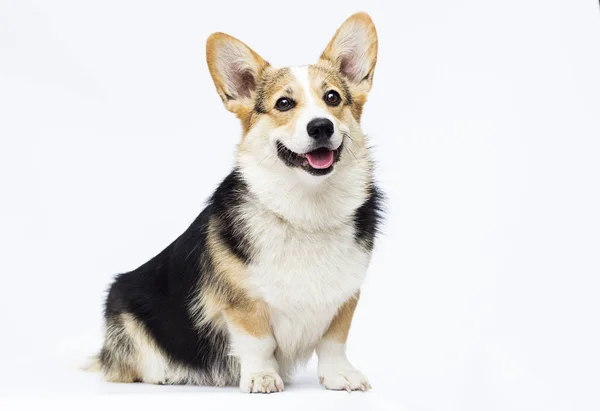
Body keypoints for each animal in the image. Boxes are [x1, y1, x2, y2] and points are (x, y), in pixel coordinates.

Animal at [86, 11, 382, 394]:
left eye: (332, 97)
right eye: (284, 103)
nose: (321, 127)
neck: (306, 209)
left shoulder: (345, 296)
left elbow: (334, 341)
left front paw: (340, 376)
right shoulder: (242, 302)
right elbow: (258, 342)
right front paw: (261, 377)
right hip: (126, 304)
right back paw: (163, 373)